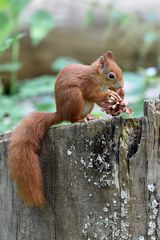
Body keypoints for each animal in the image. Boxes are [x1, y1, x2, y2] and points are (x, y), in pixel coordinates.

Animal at [8, 51, 124, 208]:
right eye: (111, 75)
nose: (121, 85)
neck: (96, 76)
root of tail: (61, 113)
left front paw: (117, 95)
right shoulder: (88, 84)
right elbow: (92, 94)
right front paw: (110, 95)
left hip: (86, 105)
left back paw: (90, 117)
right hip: (74, 96)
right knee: (73, 119)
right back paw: (80, 120)